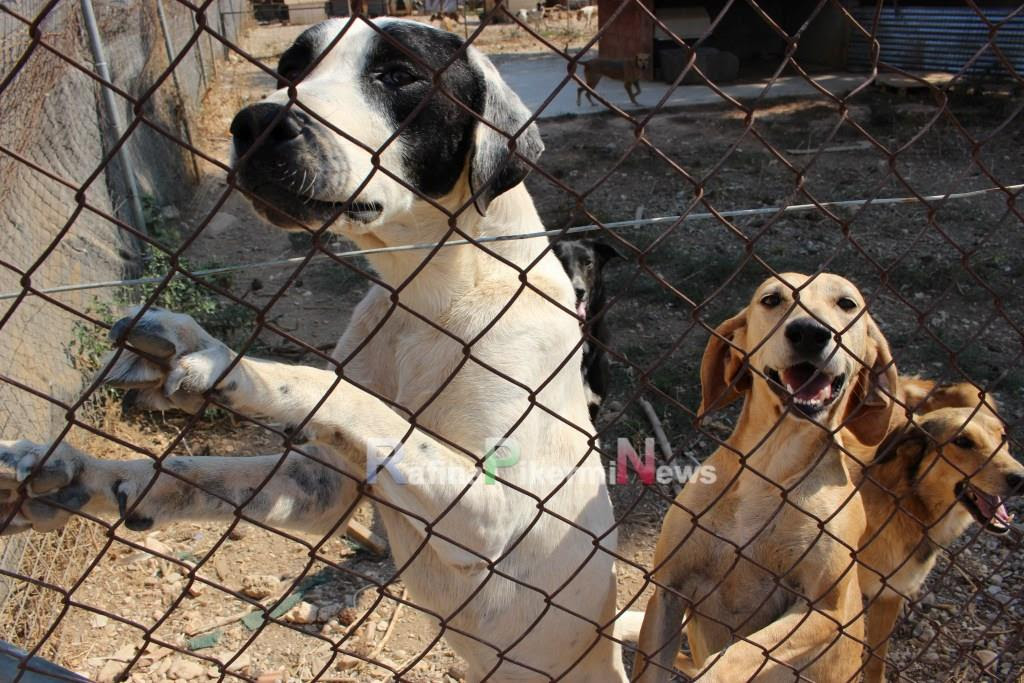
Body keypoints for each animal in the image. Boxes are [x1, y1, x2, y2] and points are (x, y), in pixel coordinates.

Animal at [2, 18, 638, 679]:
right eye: (290, 68)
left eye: (399, 74)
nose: (256, 122)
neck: (428, 299)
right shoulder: (323, 484)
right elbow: (197, 471)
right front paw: (80, 472)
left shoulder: (501, 512)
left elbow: (352, 398)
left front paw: (233, 367)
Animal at [630, 274, 897, 683]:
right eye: (771, 299)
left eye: (847, 304)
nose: (809, 333)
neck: (772, 468)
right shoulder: (667, 590)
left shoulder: (823, 608)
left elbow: (737, 655)